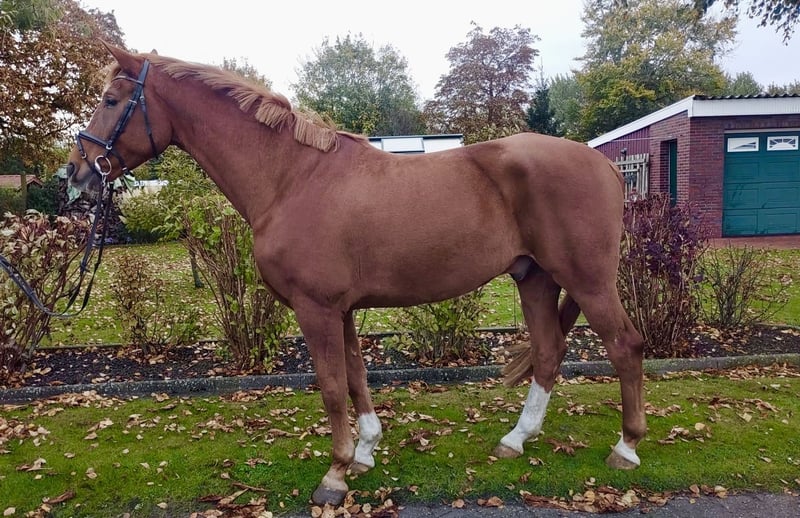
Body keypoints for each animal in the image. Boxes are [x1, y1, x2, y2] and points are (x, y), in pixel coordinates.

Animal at [67, 42, 646, 507]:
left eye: (112, 101)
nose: (73, 173)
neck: (291, 178)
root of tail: (606, 164)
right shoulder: (339, 309)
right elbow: (355, 376)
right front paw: (366, 450)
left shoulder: (316, 308)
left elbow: (329, 387)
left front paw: (335, 473)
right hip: (535, 278)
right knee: (549, 352)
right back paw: (515, 440)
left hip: (588, 280)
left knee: (625, 345)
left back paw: (625, 446)